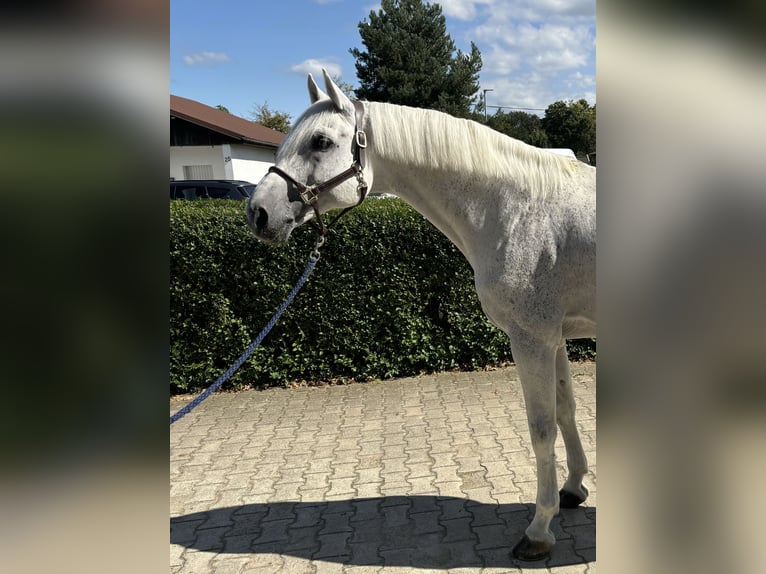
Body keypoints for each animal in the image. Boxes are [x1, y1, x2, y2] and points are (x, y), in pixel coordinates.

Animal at [249, 70, 596, 560]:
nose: (258, 213)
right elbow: (566, 412)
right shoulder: (555, 337)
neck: (517, 207)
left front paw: (538, 530)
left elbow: (541, 429)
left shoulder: (532, 339)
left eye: (320, 141)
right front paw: (572, 490)